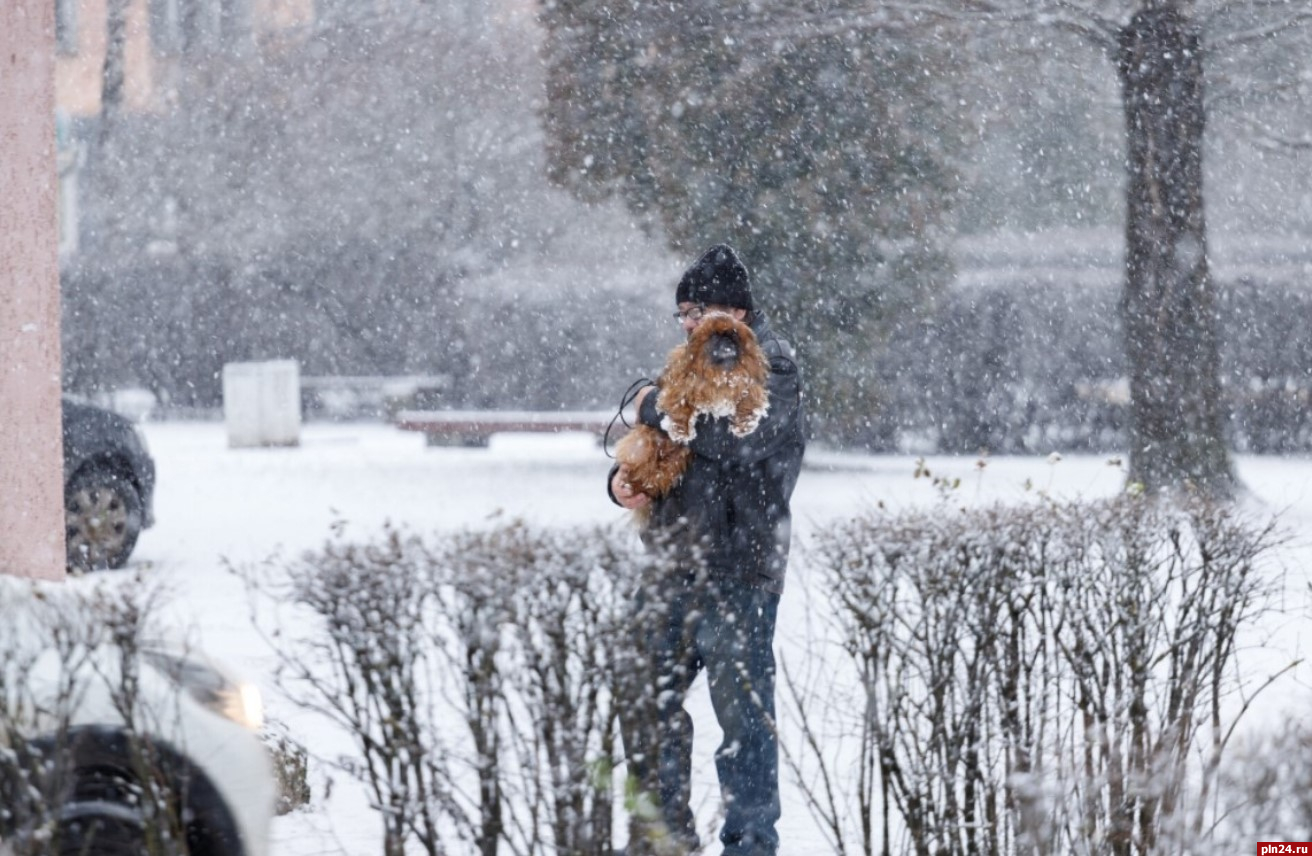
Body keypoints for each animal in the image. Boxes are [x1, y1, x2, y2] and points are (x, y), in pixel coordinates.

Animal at [614, 311, 766, 517]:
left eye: (733, 335)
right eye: (714, 336)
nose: (726, 340)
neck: (721, 373)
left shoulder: (748, 384)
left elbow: (751, 397)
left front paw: (745, 423)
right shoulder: (680, 387)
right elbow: (680, 405)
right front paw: (681, 430)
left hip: (680, 456)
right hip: (645, 441)